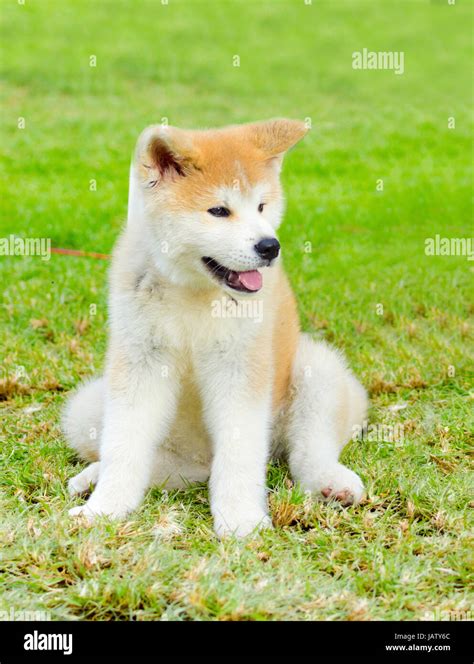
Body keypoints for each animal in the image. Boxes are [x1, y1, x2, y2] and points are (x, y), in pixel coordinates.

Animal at [63, 116, 366, 536]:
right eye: (219, 211)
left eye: (261, 206)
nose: (269, 247)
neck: (193, 292)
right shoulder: (140, 363)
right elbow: (124, 448)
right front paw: (105, 509)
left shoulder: (240, 366)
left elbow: (239, 455)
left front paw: (241, 520)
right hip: (87, 407)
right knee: (177, 468)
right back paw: (93, 476)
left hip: (317, 370)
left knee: (308, 449)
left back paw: (331, 482)